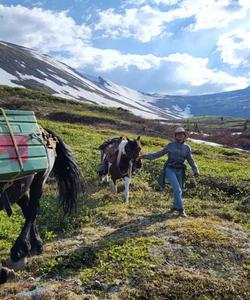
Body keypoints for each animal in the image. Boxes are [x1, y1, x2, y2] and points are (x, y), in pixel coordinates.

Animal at [0, 128, 80, 274]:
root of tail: (42, 130)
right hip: (22, 188)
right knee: (28, 211)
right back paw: (35, 245)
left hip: (39, 178)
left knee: (33, 210)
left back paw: (20, 250)